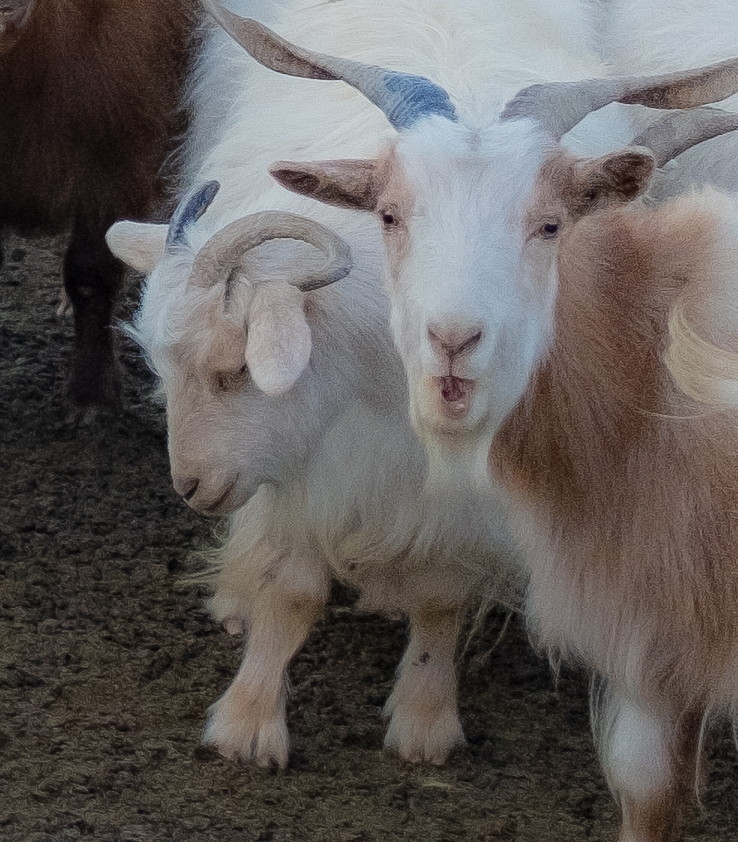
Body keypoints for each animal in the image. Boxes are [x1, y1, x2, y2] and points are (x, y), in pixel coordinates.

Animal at [103, 0, 524, 768]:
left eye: (237, 367)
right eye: (160, 366)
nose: (189, 487)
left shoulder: (462, 494)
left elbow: (442, 595)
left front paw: (425, 722)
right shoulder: (302, 462)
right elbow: (289, 588)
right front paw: (245, 724)